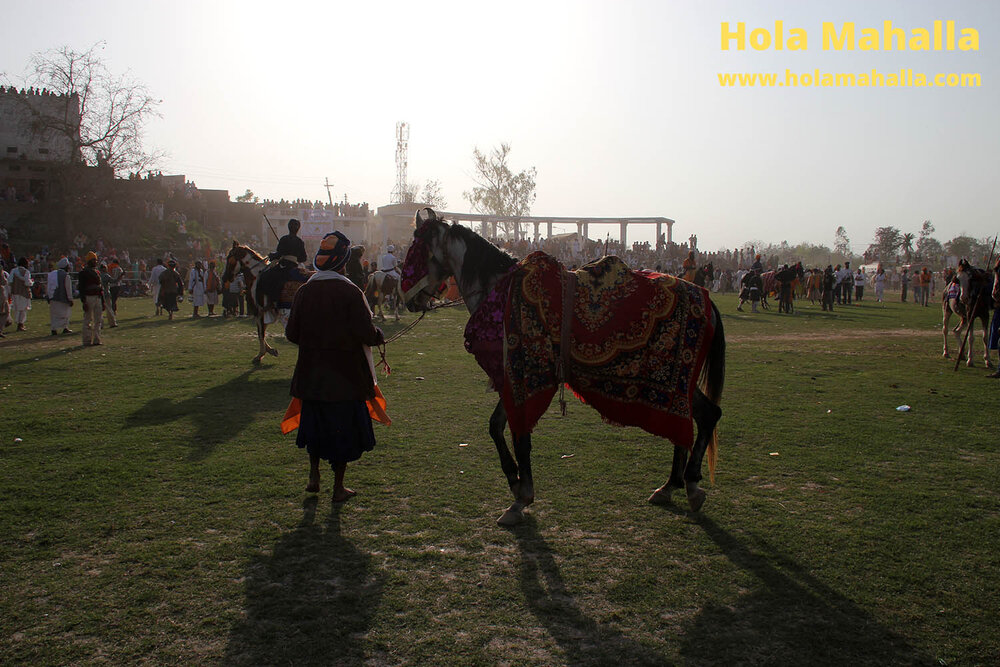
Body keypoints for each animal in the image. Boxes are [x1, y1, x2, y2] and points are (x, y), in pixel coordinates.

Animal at [400, 209, 728, 528]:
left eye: (415, 250)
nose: (408, 299)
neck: (501, 294)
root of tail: (705, 299)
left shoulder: (523, 375)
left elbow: (518, 434)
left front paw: (521, 495)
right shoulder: (511, 379)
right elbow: (496, 427)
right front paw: (515, 482)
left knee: (704, 416)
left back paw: (690, 484)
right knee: (696, 418)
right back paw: (671, 485)